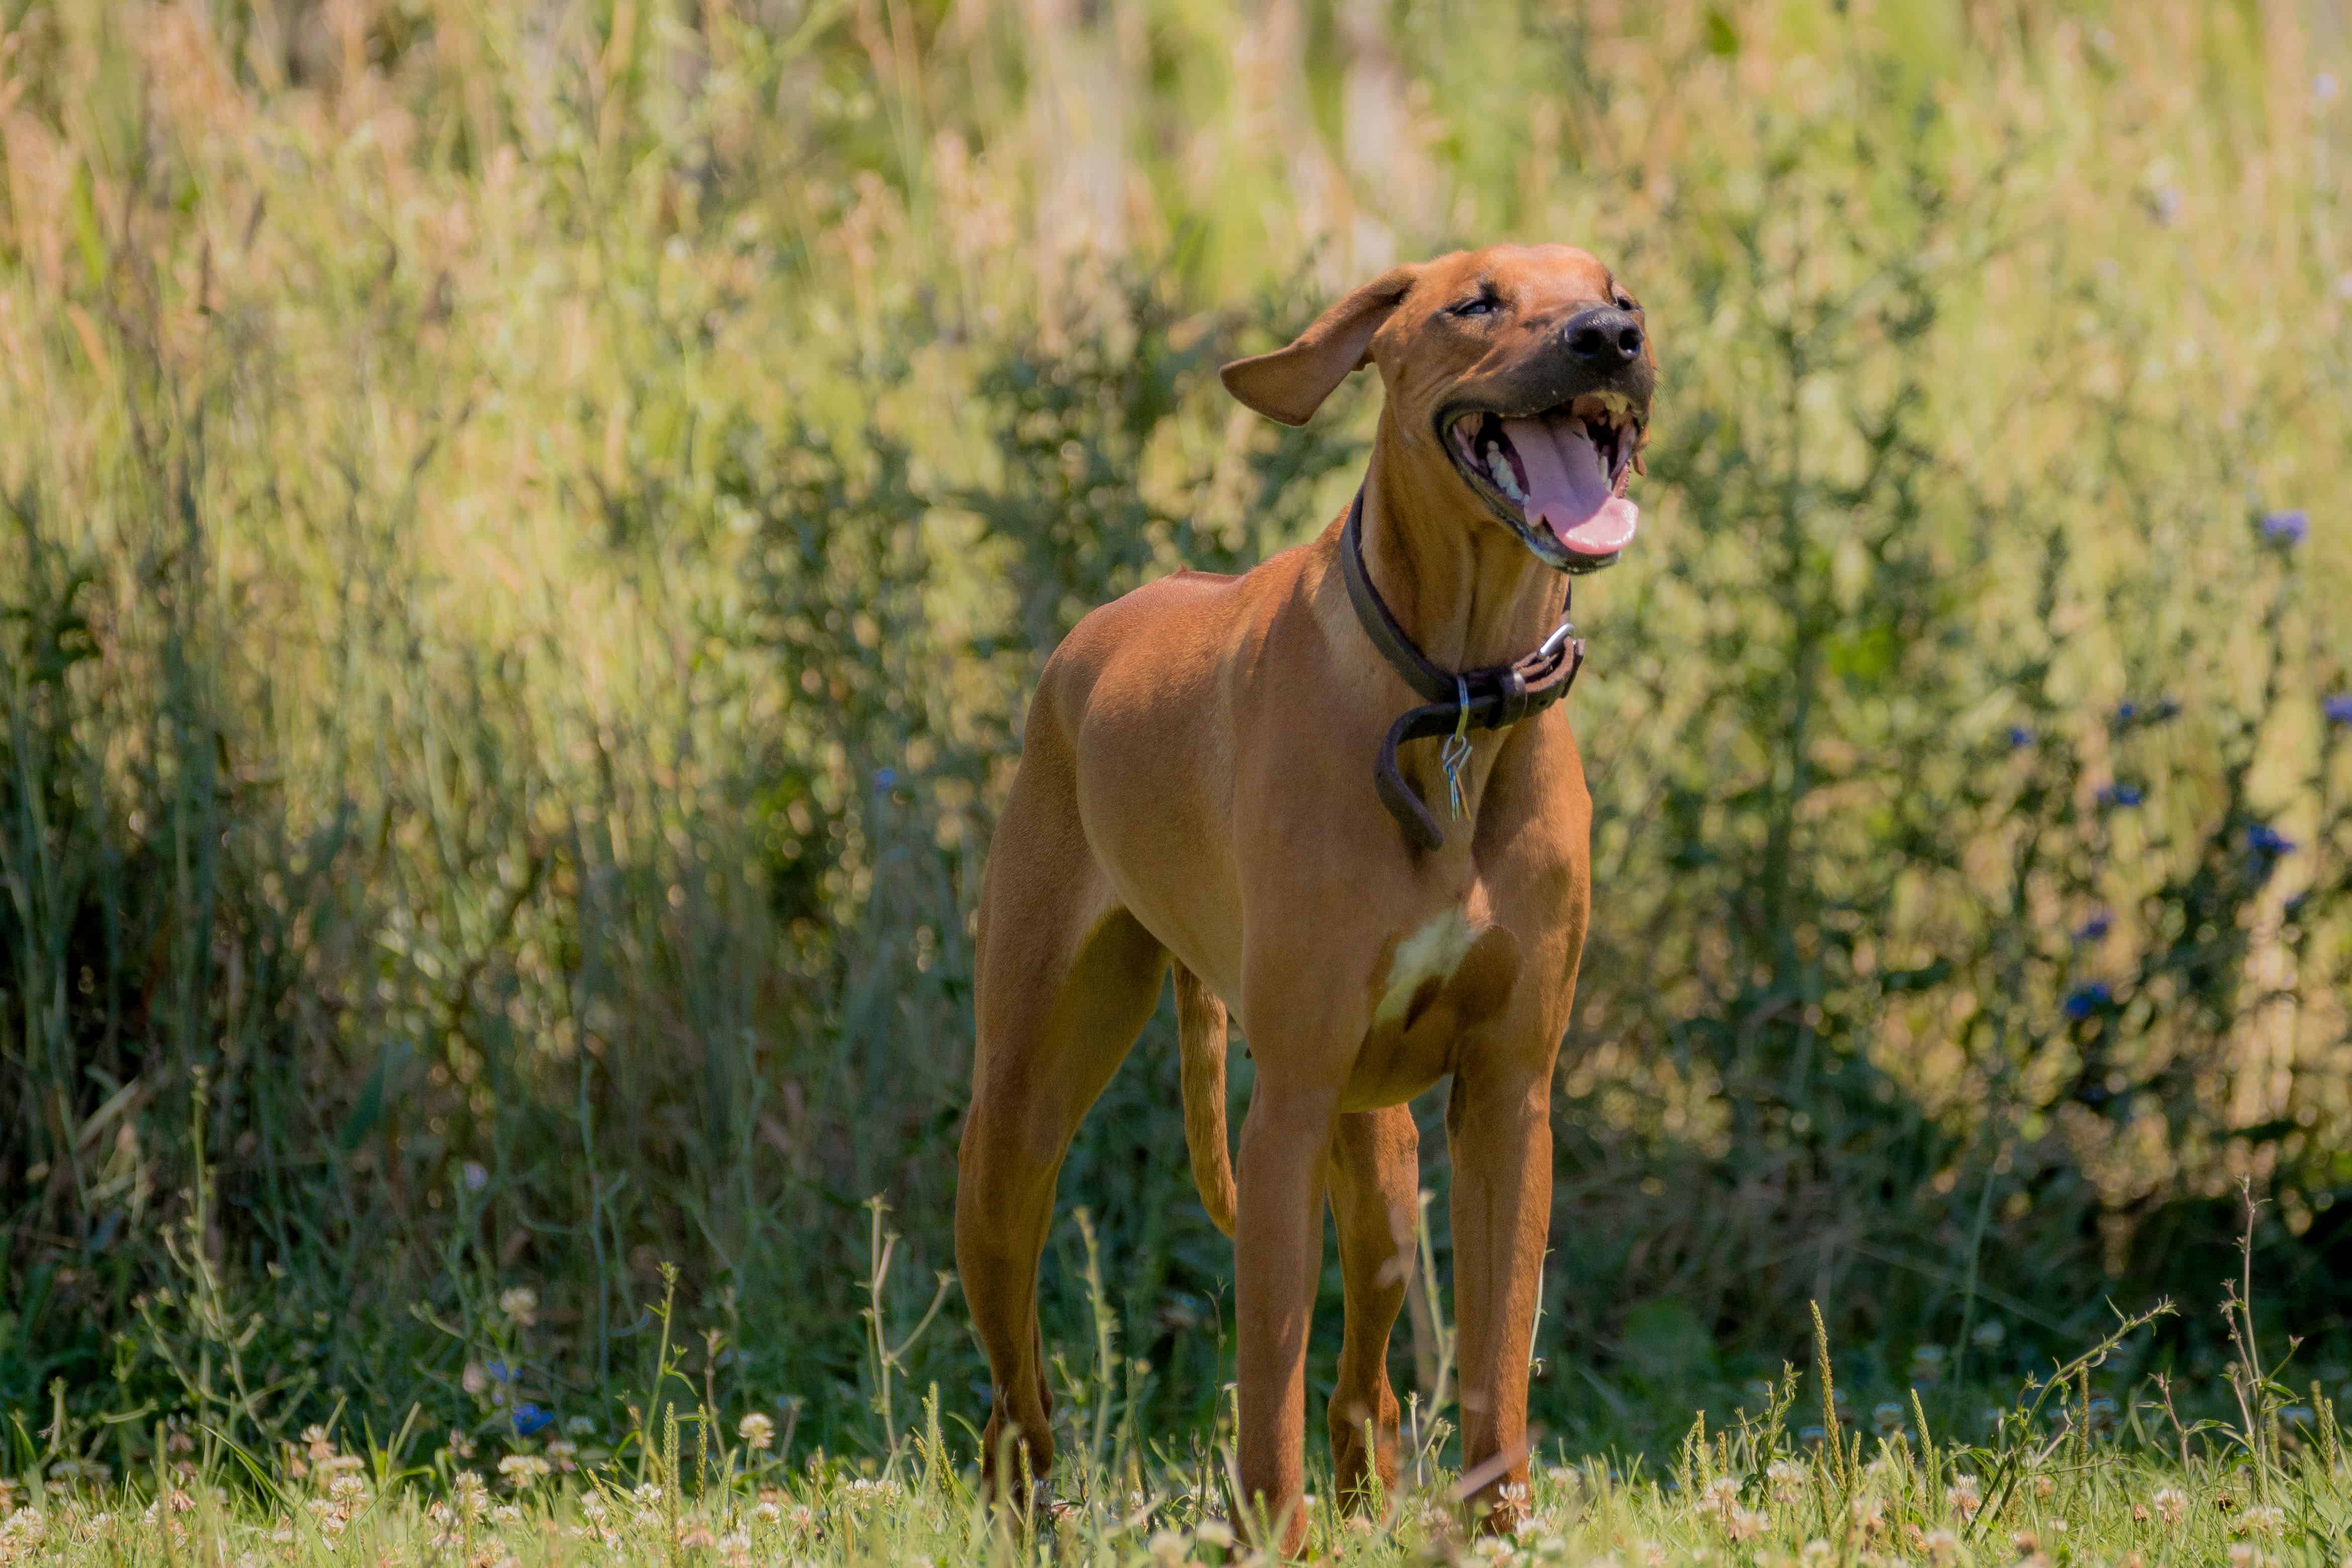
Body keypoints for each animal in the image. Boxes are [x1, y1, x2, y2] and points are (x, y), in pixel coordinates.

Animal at [955, 242, 1656, 1542]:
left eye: (1616, 289)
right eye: (1475, 300)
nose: (1606, 338)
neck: (1455, 696)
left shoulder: (1508, 1097)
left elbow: (1496, 1357)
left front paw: (1495, 1533)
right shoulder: (1281, 1105)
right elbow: (1264, 1377)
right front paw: (1269, 1539)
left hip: (1378, 1170)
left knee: (1362, 1380)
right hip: (1015, 1127)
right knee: (1016, 1394)